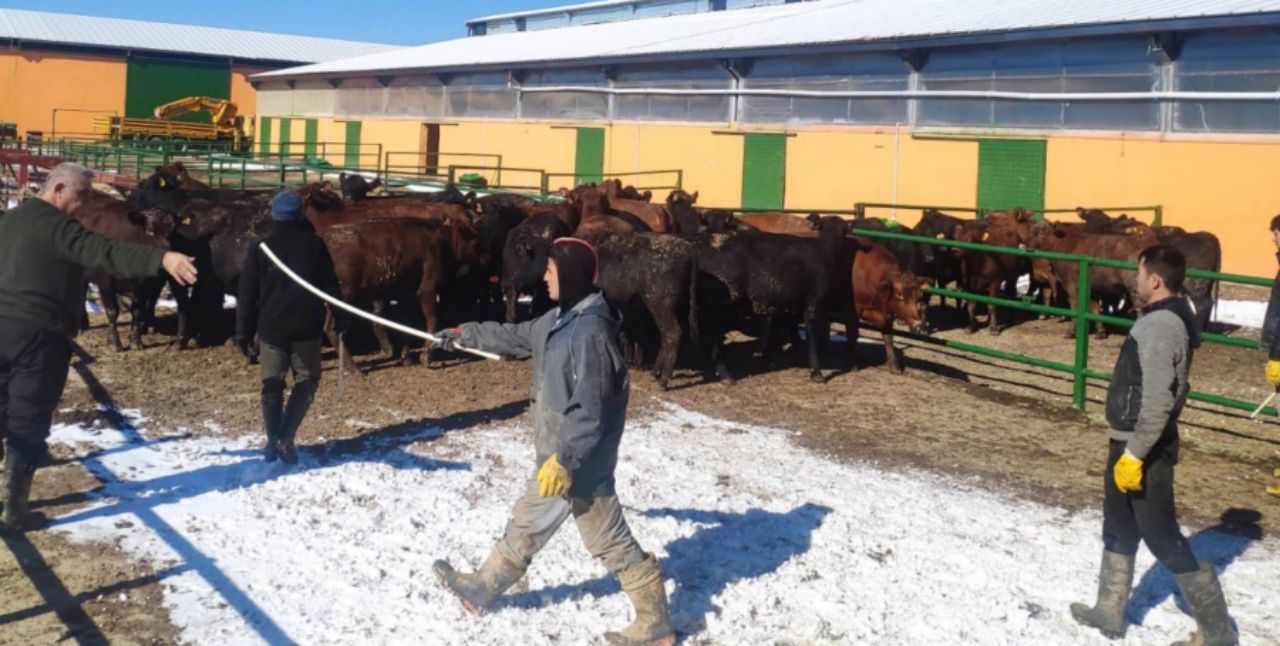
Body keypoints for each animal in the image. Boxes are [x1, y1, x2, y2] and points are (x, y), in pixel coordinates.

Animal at [849, 237, 931, 373]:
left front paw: (894, 365)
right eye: (899, 294)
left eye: (919, 296)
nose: (917, 323)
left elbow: (889, 339)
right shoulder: (853, 310)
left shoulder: (888, 314)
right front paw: (853, 362)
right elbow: (853, 334)